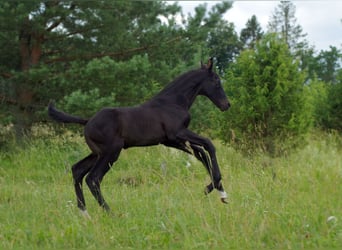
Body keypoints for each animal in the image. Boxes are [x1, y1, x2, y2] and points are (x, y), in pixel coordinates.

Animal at [48, 58, 230, 215]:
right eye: (217, 81)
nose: (226, 105)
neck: (172, 103)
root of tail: (87, 121)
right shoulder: (177, 133)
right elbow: (209, 145)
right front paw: (216, 190)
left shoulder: (171, 141)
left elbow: (201, 153)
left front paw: (217, 190)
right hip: (111, 152)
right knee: (93, 178)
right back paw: (110, 212)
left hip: (97, 153)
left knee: (77, 170)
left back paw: (84, 213)